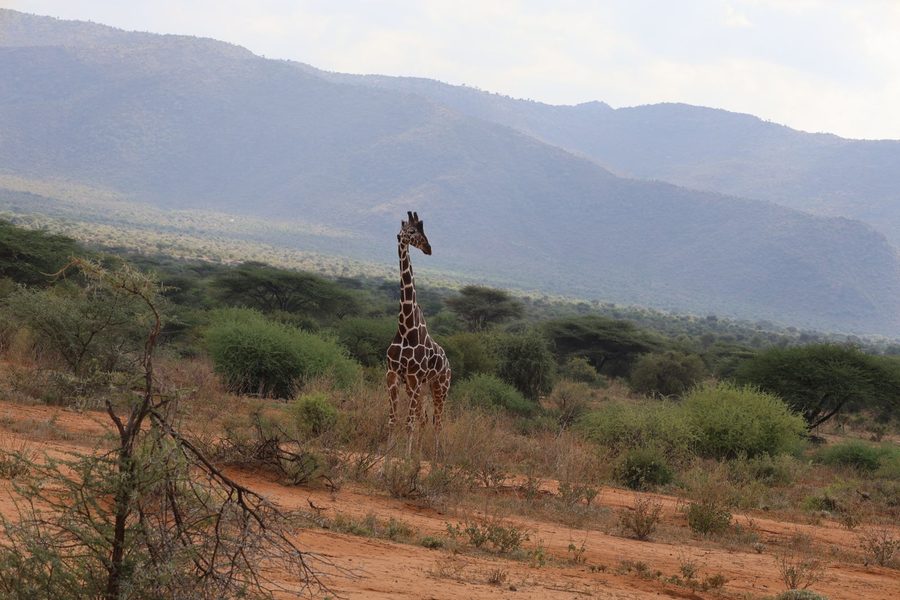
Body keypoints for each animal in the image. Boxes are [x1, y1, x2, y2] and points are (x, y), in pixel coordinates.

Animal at [386, 211, 451, 454]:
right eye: (412, 231)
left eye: (424, 230)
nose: (428, 248)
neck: (405, 329)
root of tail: (448, 362)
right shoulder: (393, 375)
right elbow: (393, 420)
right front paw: (385, 459)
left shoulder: (413, 378)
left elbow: (409, 423)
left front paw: (404, 460)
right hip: (422, 388)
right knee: (424, 420)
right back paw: (418, 456)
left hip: (440, 387)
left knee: (438, 422)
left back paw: (435, 457)